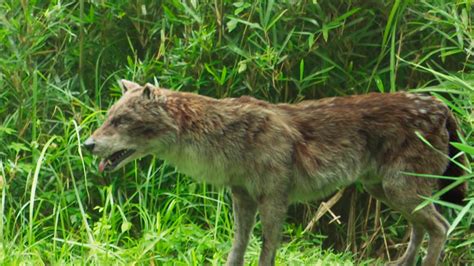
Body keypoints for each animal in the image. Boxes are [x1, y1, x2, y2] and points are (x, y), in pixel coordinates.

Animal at [84, 79, 466, 266]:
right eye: (108, 118)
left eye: (120, 121)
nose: (87, 144)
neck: (226, 135)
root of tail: (442, 105)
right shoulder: (242, 198)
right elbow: (237, 249)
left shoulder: (274, 199)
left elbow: (266, 250)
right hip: (389, 192)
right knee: (422, 227)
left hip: (400, 190)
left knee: (441, 226)